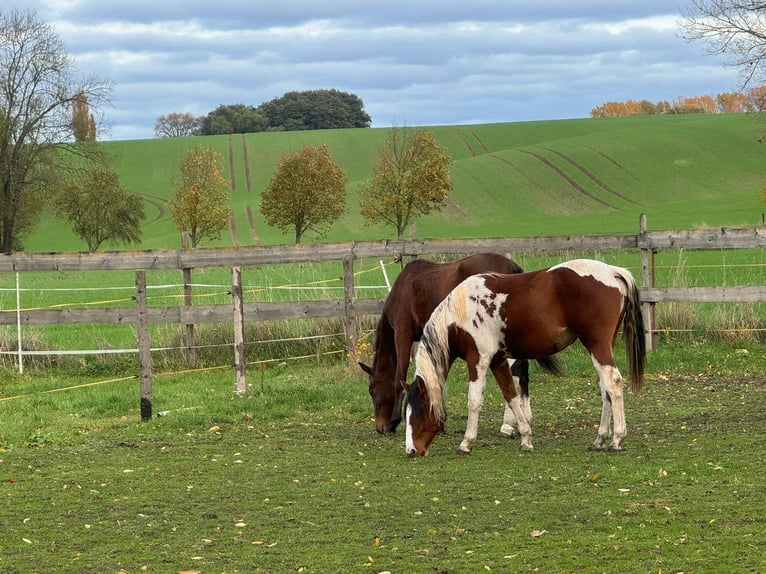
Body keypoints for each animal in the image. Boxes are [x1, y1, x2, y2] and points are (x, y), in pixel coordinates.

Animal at [359, 252, 562, 434]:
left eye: (371, 391)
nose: (380, 427)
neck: (403, 290)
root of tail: (511, 268)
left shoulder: (403, 334)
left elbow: (399, 375)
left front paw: (395, 421)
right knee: (523, 369)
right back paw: (523, 417)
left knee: (515, 369)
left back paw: (508, 423)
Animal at [404, 259, 646, 456]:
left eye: (417, 413)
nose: (411, 451)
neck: (460, 312)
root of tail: (613, 271)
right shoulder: (498, 361)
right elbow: (511, 396)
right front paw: (526, 439)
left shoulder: (478, 360)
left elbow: (474, 401)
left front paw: (466, 443)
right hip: (603, 347)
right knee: (605, 388)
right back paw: (600, 439)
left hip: (597, 345)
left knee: (613, 383)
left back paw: (616, 440)